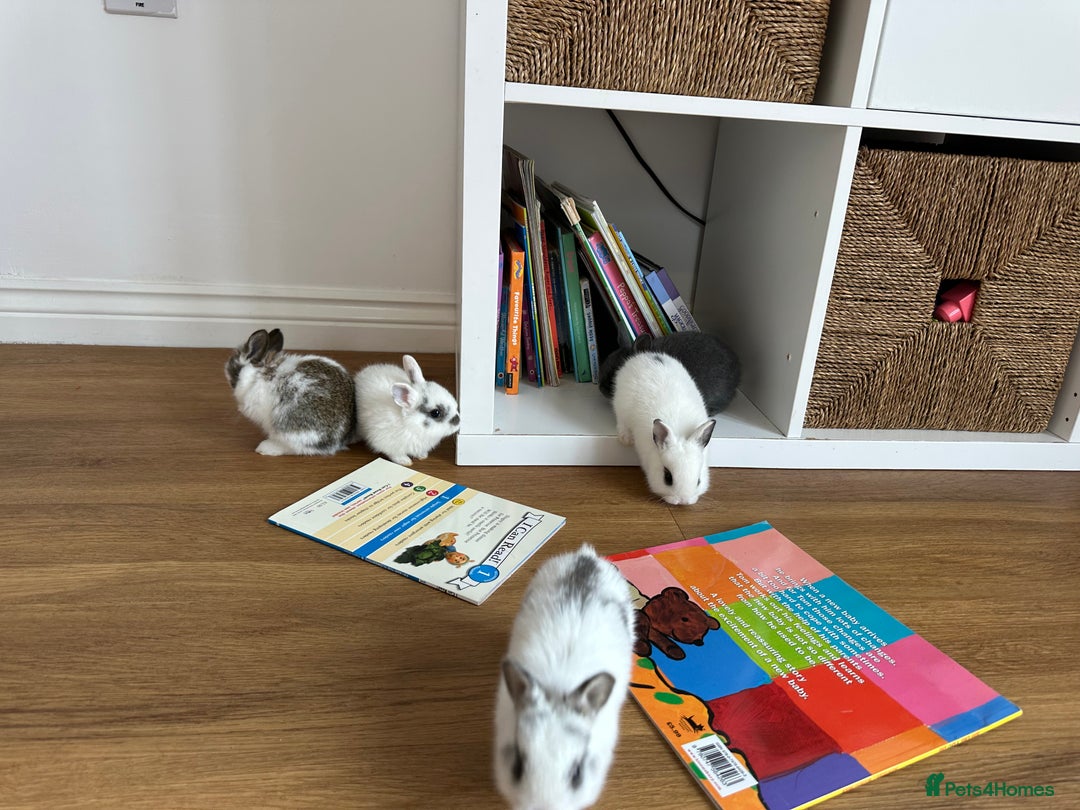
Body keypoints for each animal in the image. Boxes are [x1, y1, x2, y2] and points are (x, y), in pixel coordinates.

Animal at [225, 328, 356, 456]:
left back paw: (265, 448)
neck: (258, 375)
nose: (229, 380)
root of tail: (338, 440)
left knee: (297, 448)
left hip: (288, 427)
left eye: (235, 371)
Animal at [609, 350, 716, 506]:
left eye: (698, 481)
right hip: (620, 404)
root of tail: (646, 354)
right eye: (667, 478)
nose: (683, 500)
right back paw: (625, 438)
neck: (679, 432)